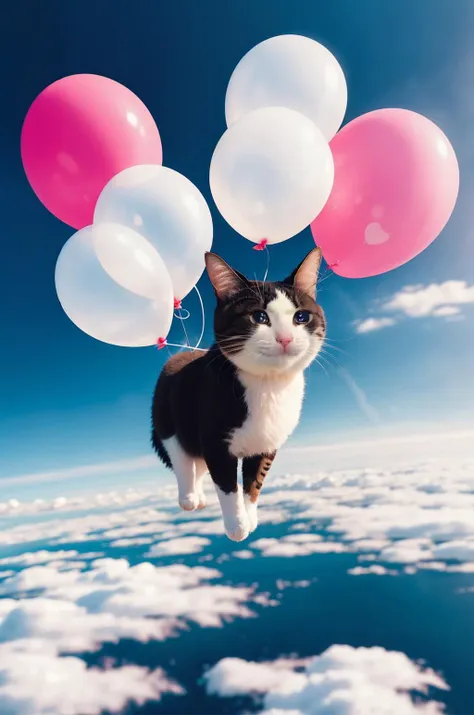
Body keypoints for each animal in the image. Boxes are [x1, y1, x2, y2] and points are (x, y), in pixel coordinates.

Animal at [151, 248, 326, 544]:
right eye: (259, 317)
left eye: (301, 317)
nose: (285, 338)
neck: (267, 385)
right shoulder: (214, 439)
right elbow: (227, 484)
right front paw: (237, 525)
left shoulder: (268, 441)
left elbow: (254, 482)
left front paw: (250, 516)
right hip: (168, 414)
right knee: (181, 455)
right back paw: (189, 497)